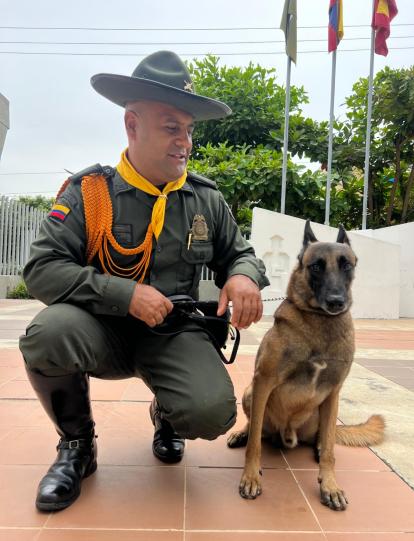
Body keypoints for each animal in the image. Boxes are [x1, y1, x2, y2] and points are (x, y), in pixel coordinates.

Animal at [228, 219, 384, 510]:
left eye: (346, 265)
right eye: (316, 266)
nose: (336, 301)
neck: (319, 321)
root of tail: (287, 434)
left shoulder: (334, 392)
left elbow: (331, 452)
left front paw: (330, 485)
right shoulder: (263, 381)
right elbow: (254, 443)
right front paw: (251, 477)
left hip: (323, 411)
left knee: (326, 437)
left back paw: (320, 446)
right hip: (250, 392)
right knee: (255, 427)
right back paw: (241, 434)